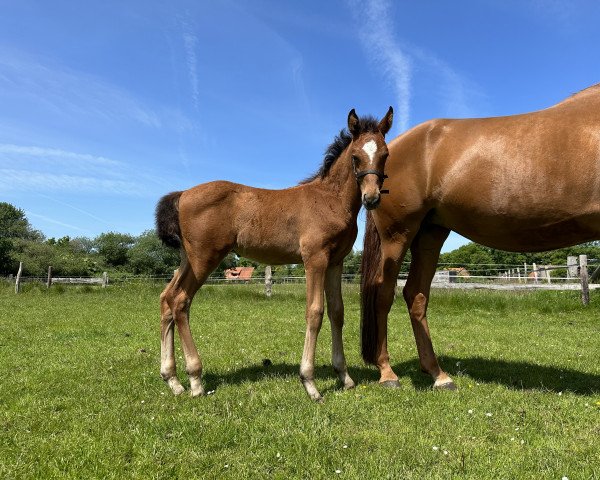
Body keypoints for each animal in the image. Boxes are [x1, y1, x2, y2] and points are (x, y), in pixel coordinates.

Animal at [157, 106, 396, 402]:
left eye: (385, 154)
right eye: (355, 156)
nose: (371, 198)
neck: (330, 200)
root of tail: (182, 194)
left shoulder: (335, 262)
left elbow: (337, 312)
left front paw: (345, 377)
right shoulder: (314, 259)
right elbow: (315, 312)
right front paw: (310, 383)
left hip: (188, 260)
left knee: (166, 298)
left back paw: (172, 379)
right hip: (204, 259)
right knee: (180, 301)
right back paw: (195, 379)